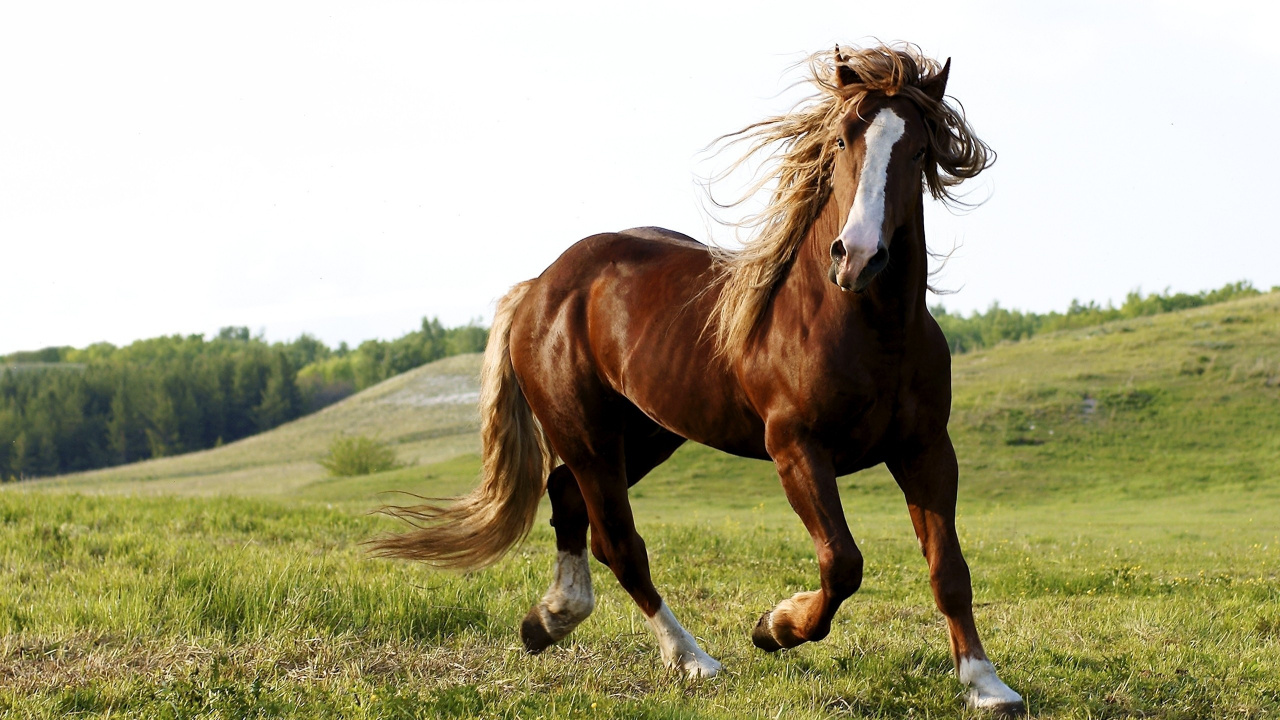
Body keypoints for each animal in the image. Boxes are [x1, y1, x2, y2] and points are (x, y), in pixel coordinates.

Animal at [373, 43, 1024, 715]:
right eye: (844, 138)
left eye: (919, 150)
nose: (859, 257)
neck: (865, 325)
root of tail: (541, 286)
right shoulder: (796, 447)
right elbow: (842, 563)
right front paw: (775, 627)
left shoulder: (926, 449)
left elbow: (949, 570)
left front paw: (986, 684)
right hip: (588, 436)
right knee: (620, 544)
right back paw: (693, 660)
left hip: (645, 435)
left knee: (568, 499)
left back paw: (549, 619)